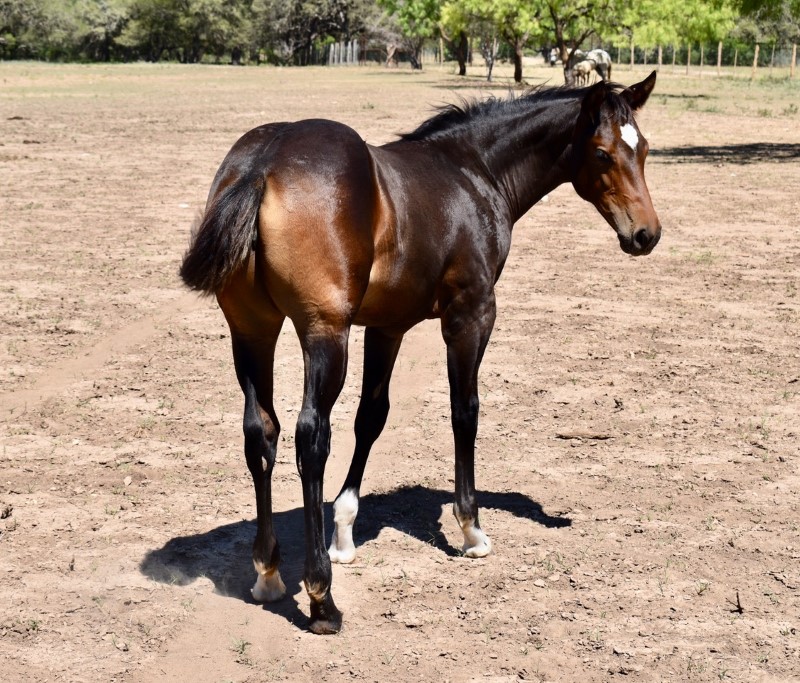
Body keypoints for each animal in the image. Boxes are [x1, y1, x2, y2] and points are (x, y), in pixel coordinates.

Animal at [181, 71, 664, 636]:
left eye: (644, 149)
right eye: (603, 153)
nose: (646, 234)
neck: (473, 171)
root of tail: (265, 161)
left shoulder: (386, 326)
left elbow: (371, 417)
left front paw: (344, 532)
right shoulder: (471, 315)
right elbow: (464, 412)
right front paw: (471, 528)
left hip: (253, 331)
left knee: (261, 432)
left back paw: (268, 574)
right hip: (324, 332)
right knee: (309, 437)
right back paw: (321, 599)